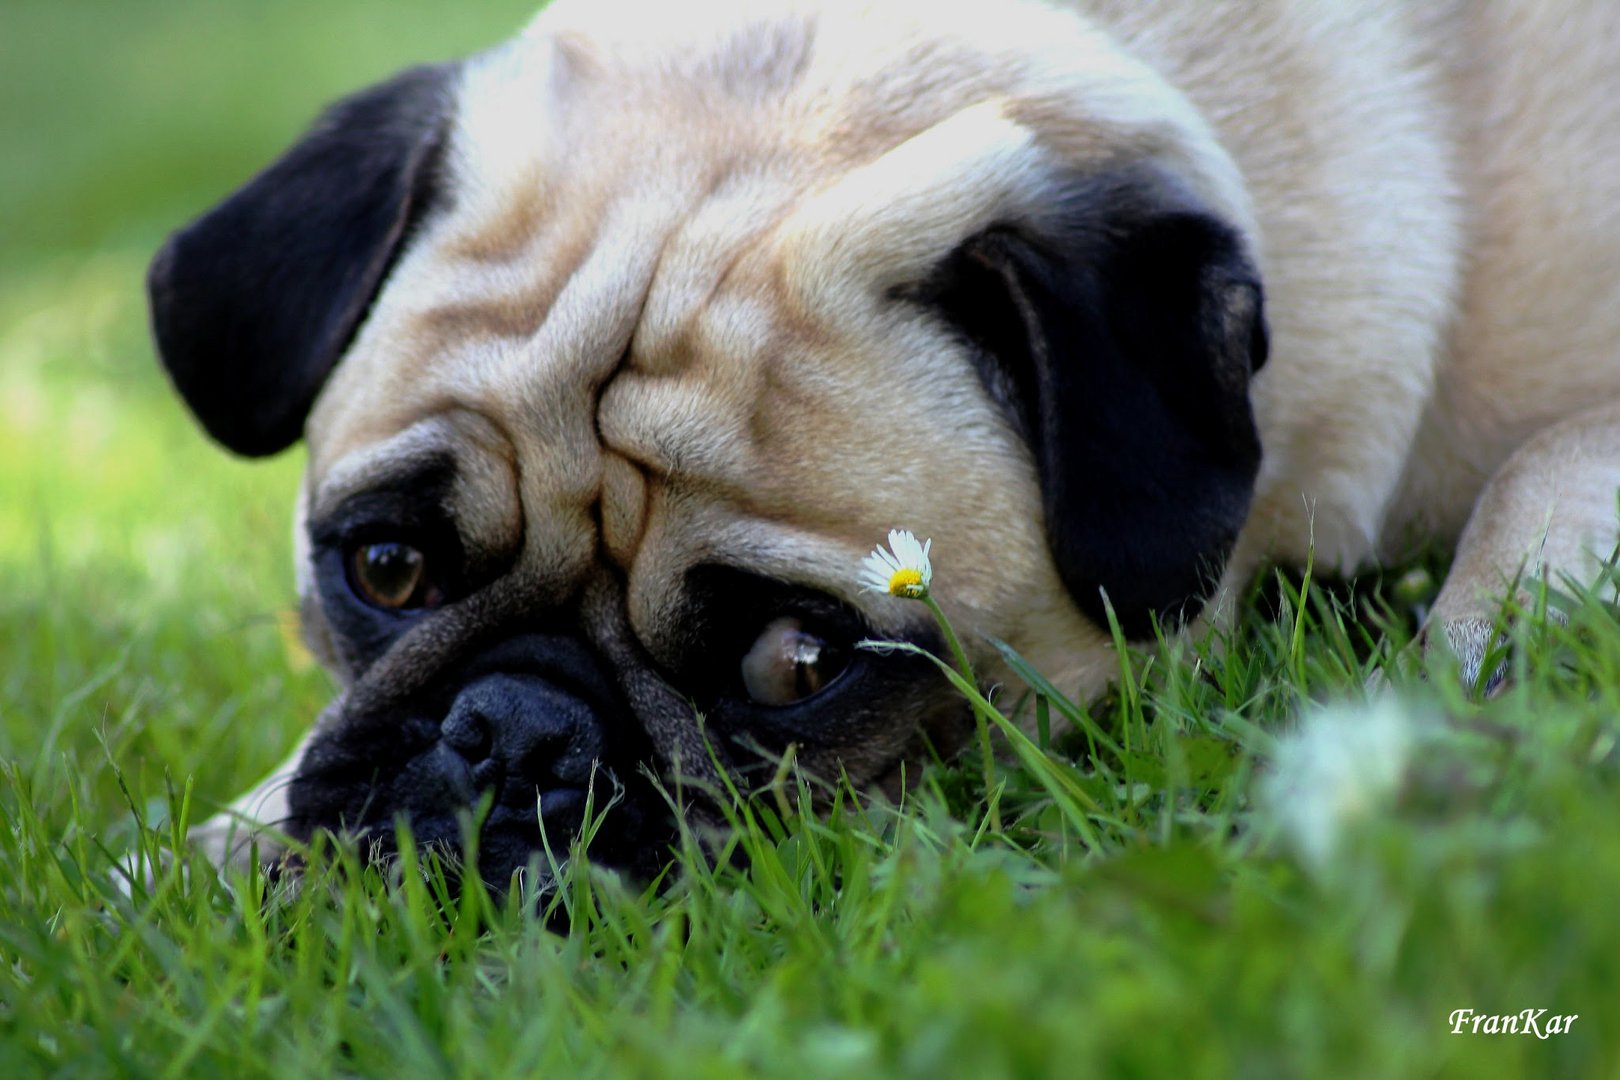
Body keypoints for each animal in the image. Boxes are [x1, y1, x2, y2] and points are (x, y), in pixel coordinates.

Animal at [149, 0, 1620, 887]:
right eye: (385, 570)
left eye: (799, 663)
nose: (516, 732)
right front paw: (221, 845)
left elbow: (1538, 482)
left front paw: (1450, 733)